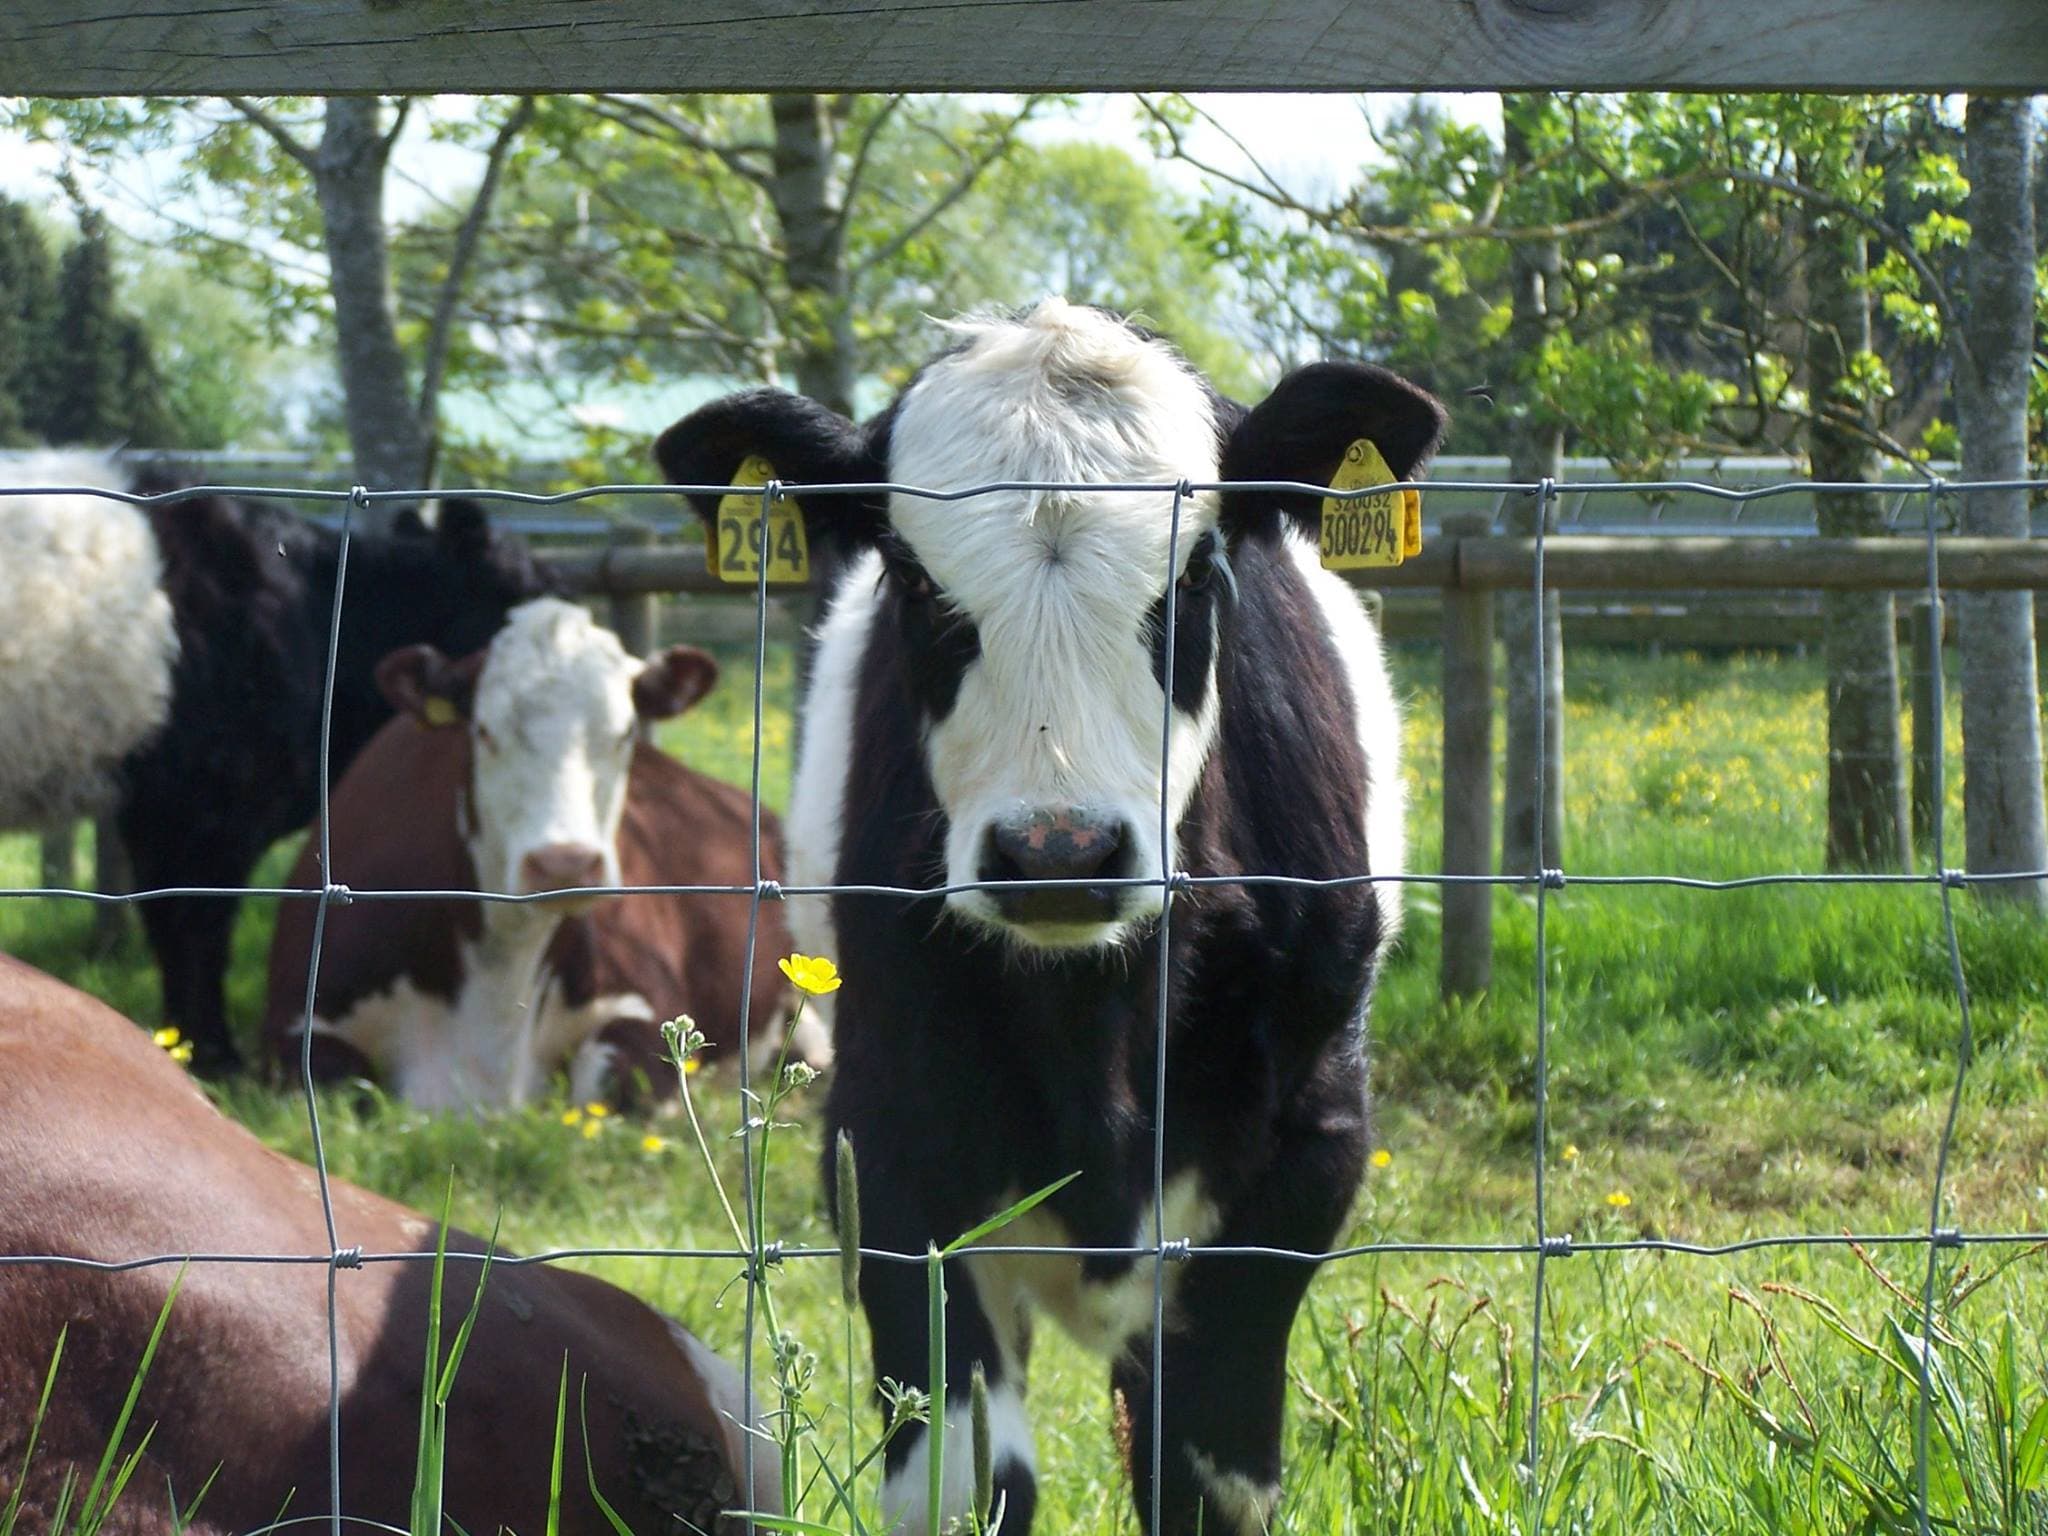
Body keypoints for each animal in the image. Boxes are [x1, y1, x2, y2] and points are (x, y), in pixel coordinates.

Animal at [260, 595, 802, 1111]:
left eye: (624, 733)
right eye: (483, 730)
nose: (565, 862)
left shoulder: (647, 1000)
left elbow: (610, 1086)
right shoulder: (296, 1022)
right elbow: (340, 1086)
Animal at [654, 299, 1444, 1536]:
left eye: (1199, 569)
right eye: (912, 579)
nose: (1056, 853)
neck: (1099, 1034)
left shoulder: (1303, 1155)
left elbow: (1201, 1478)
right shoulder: (886, 1151)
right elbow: (967, 1486)